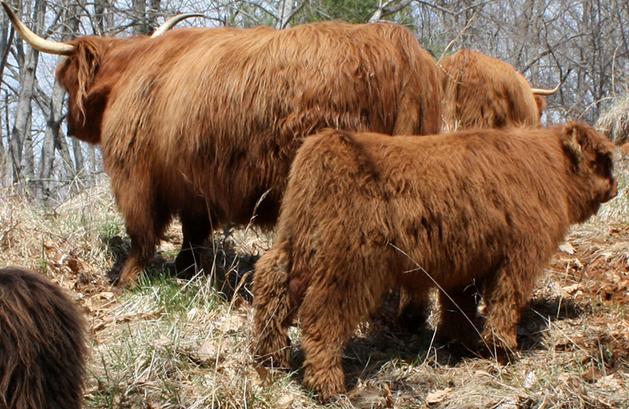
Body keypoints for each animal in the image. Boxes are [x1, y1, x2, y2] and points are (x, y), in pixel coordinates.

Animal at [2, 3, 442, 286]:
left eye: (67, 83)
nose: (70, 127)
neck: (133, 72)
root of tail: (398, 47)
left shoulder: (135, 177)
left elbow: (142, 233)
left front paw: (125, 281)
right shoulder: (195, 186)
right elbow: (194, 235)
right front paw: (185, 273)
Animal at [253, 121, 616, 398]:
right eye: (603, 161)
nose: (615, 189)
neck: (549, 169)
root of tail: (329, 141)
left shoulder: (466, 266)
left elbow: (460, 308)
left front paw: (461, 345)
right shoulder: (519, 258)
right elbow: (505, 303)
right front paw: (502, 349)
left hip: (294, 243)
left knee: (272, 286)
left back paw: (270, 357)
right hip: (349, 265)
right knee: (322, 316)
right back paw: (327, 385)